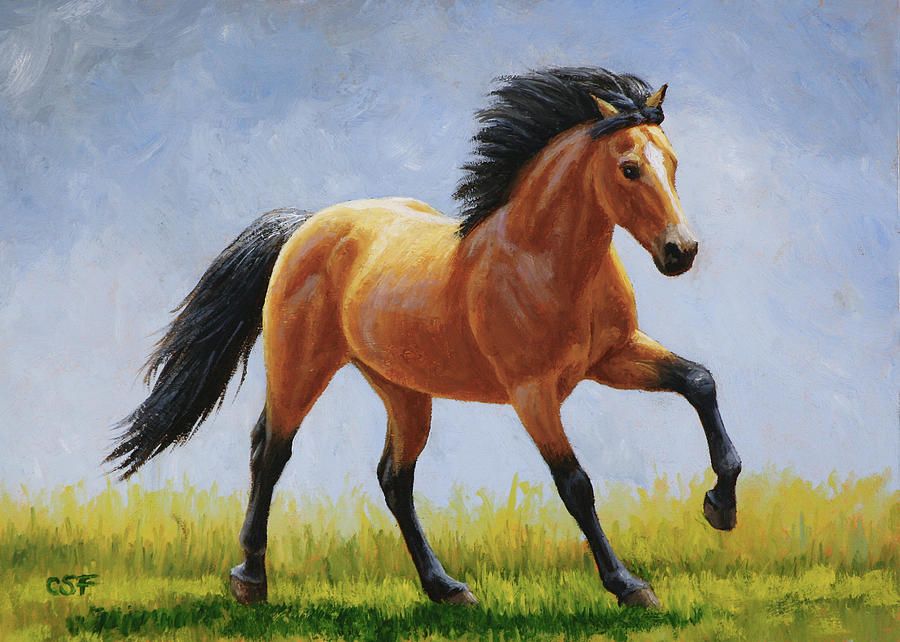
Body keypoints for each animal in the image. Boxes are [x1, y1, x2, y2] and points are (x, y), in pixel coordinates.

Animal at [107, 67, 741, 610]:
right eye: (629, 168)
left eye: (674, 162)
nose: (681, 252)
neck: (540, 259)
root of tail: (307, 225)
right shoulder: (533, 393)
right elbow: (576, 485)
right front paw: (629, 585)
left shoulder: (613, 357)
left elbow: (699, 381)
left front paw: (720, 507)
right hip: (300, 367)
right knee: (271, 450)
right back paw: (251, 580)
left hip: (403, 390)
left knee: (394, 478)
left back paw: (445, 588)